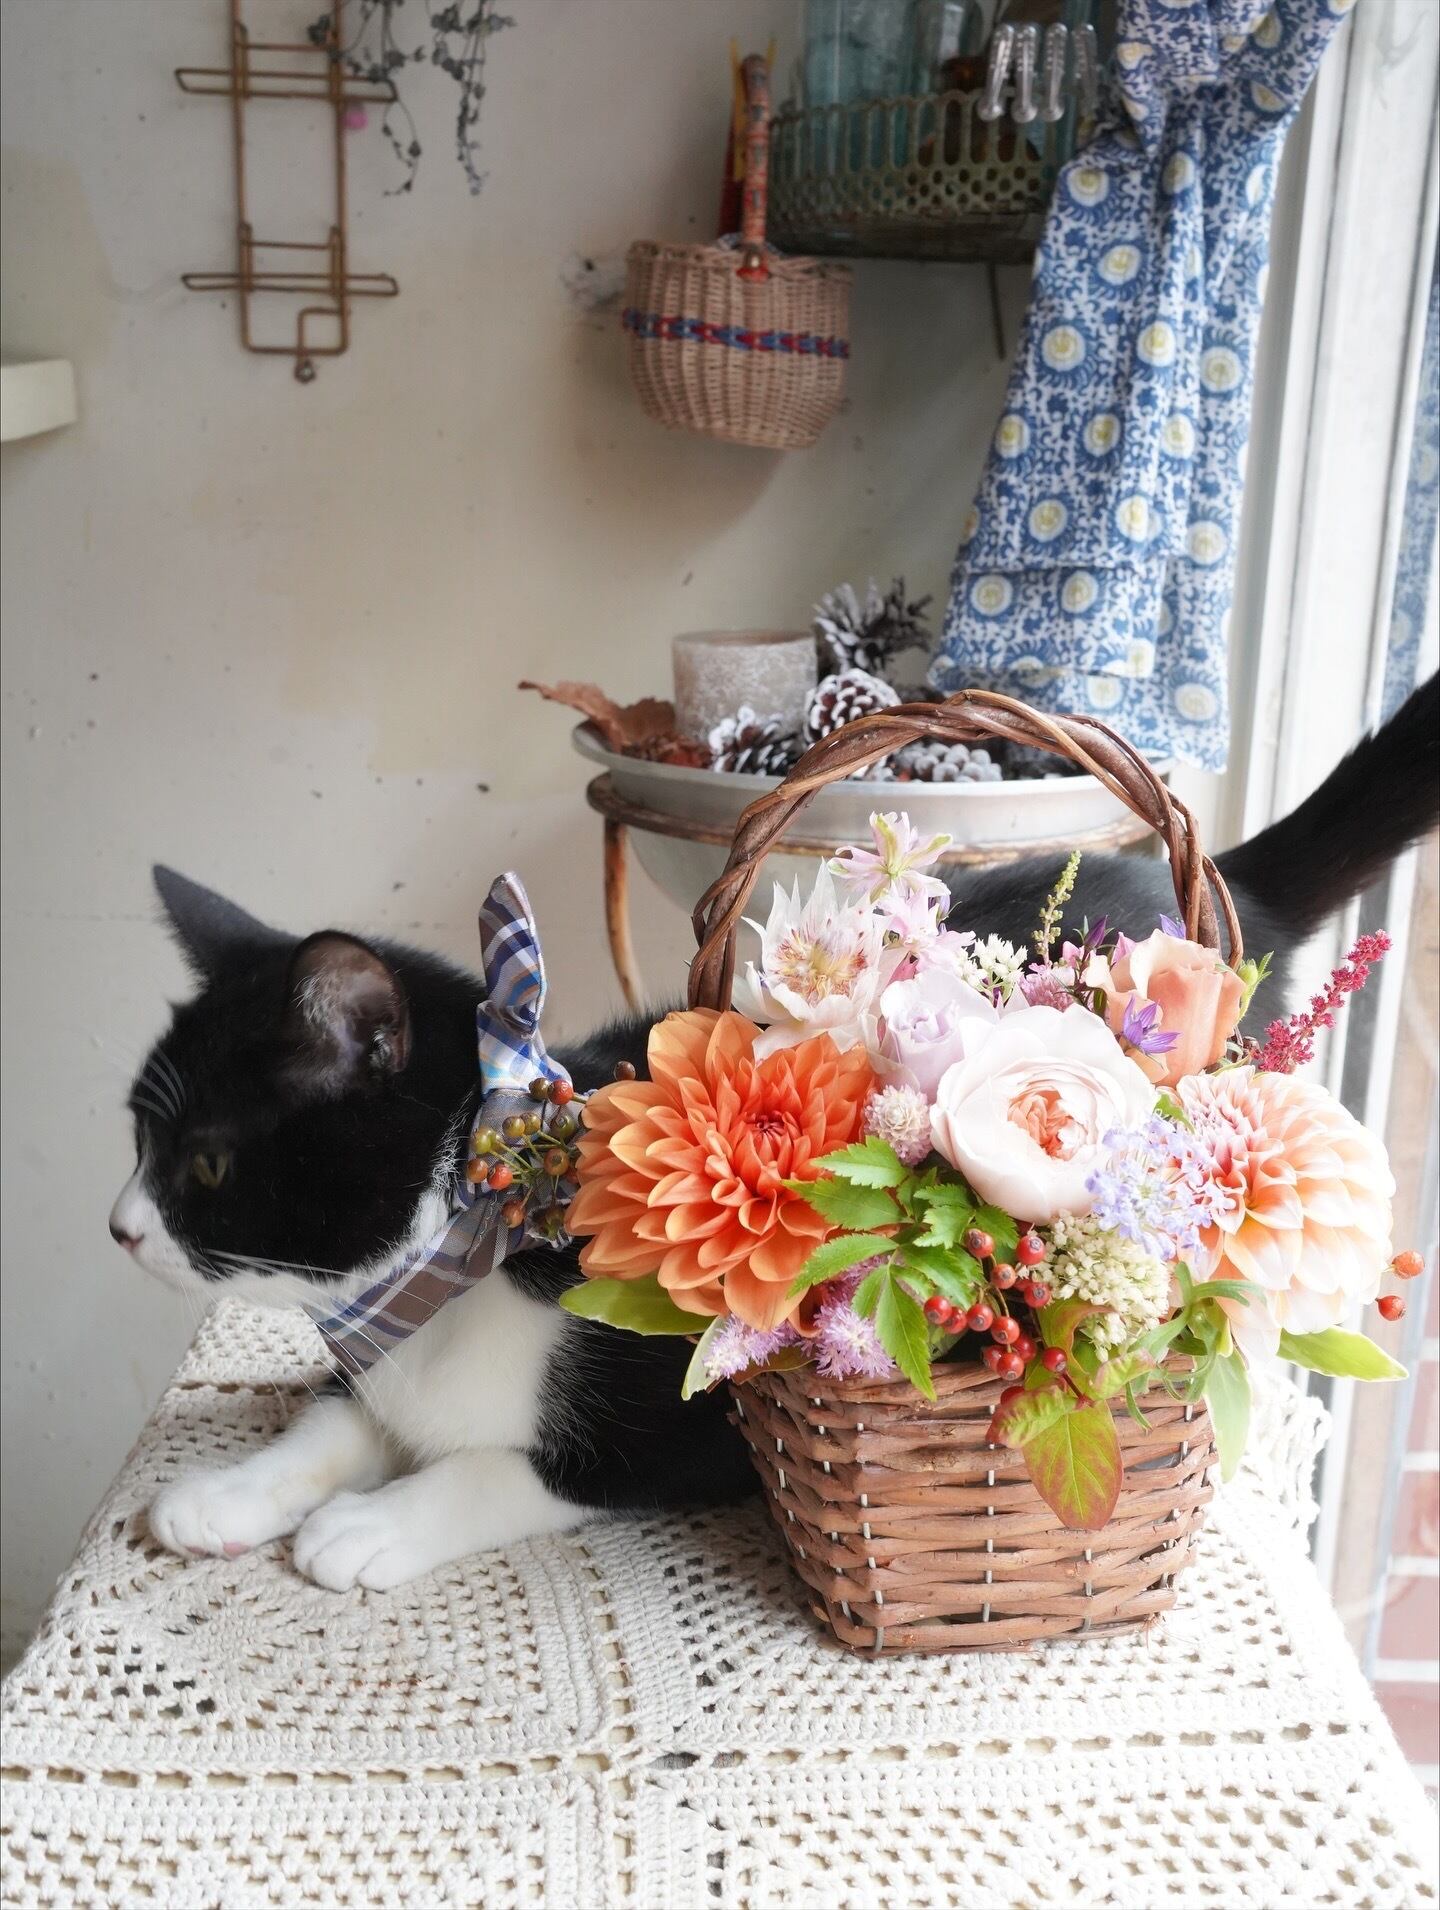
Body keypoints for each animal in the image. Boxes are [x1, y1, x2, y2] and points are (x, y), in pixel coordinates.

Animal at [112, 675, 1439, 1591]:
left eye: (208, 1160)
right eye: (134, 1129)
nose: (119, 1225)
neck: (452, 1268)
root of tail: (1210, 880)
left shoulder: (688, 1425)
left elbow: (517, 1463)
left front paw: (375, 1521)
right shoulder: (376, 1365)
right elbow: (336, 1418)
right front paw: (227, 1493)